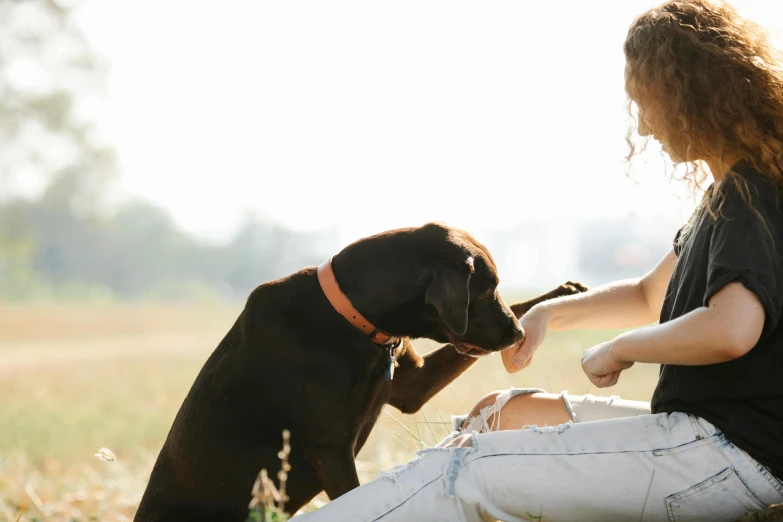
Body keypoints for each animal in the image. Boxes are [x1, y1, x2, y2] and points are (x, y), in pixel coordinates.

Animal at [136, 221, 588, 516]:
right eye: (488, 287)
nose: (516, 334)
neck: (354, 319)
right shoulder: (330, 448)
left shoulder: (410, 384)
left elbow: (522, 304)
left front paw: (563, 293)